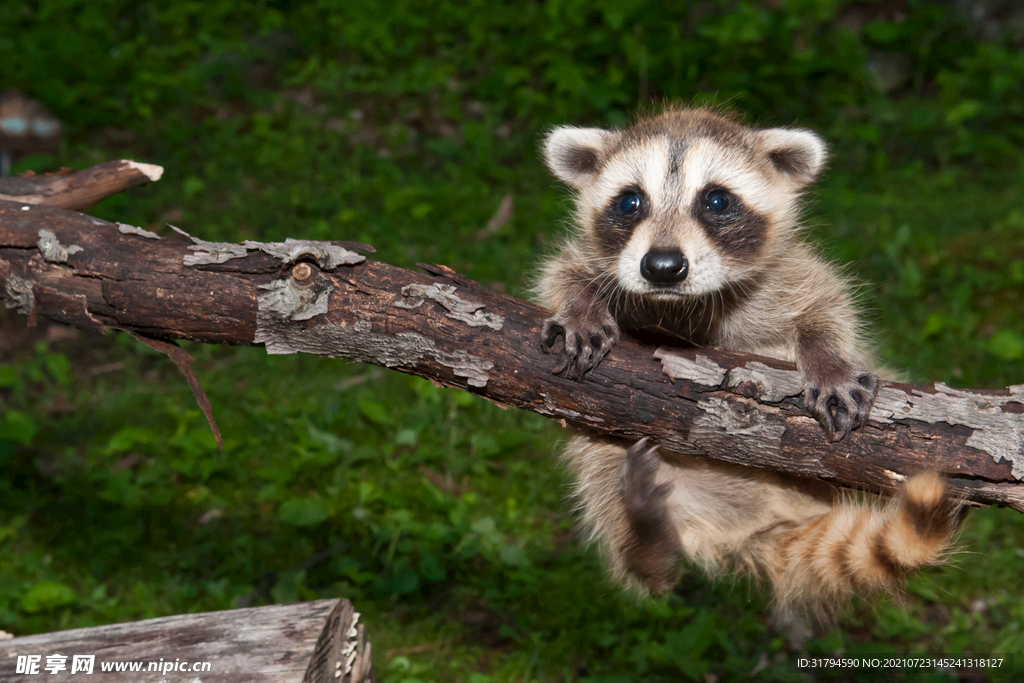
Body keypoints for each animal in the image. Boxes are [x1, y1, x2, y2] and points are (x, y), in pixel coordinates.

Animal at [536, 105, 958, 630]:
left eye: (716, 200)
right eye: (630, 201)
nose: (662, 266)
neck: (681, 303)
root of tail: (758, 522)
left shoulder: (790, 272)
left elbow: (827, 305)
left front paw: (827, 359)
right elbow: (562, 271)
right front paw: (580, 306)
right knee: (605, 480)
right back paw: (645, 539)